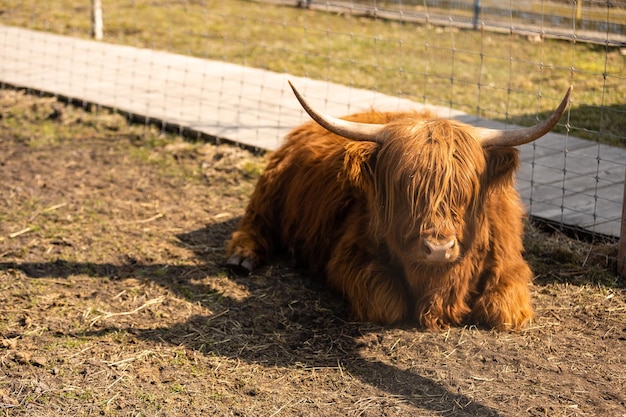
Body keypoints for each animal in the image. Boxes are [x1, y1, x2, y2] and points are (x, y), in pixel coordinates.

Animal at [225, 80, 572, 328]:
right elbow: (387, 304)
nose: (438, 248)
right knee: (255, 219)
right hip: (271, 185)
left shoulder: (510, 267)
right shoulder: (351, 257)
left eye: (465, 190)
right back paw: (242, 257)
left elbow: (503, 310)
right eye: (407, 187)